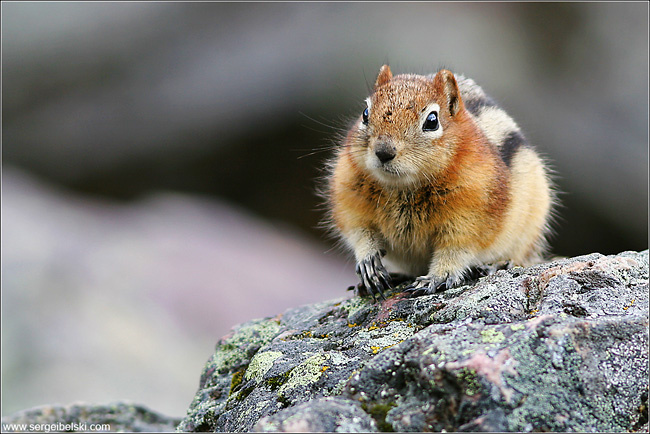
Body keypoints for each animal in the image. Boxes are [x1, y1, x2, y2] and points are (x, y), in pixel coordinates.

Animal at [325, 65, 555, 299]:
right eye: (365, 113)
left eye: (432, 121)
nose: (383, 151)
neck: (403, 187)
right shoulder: (350, 200)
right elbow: (359, 232)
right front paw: (368, 261)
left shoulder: (470, 218)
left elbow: (455, 250)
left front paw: (438, 277)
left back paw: (497, 264)